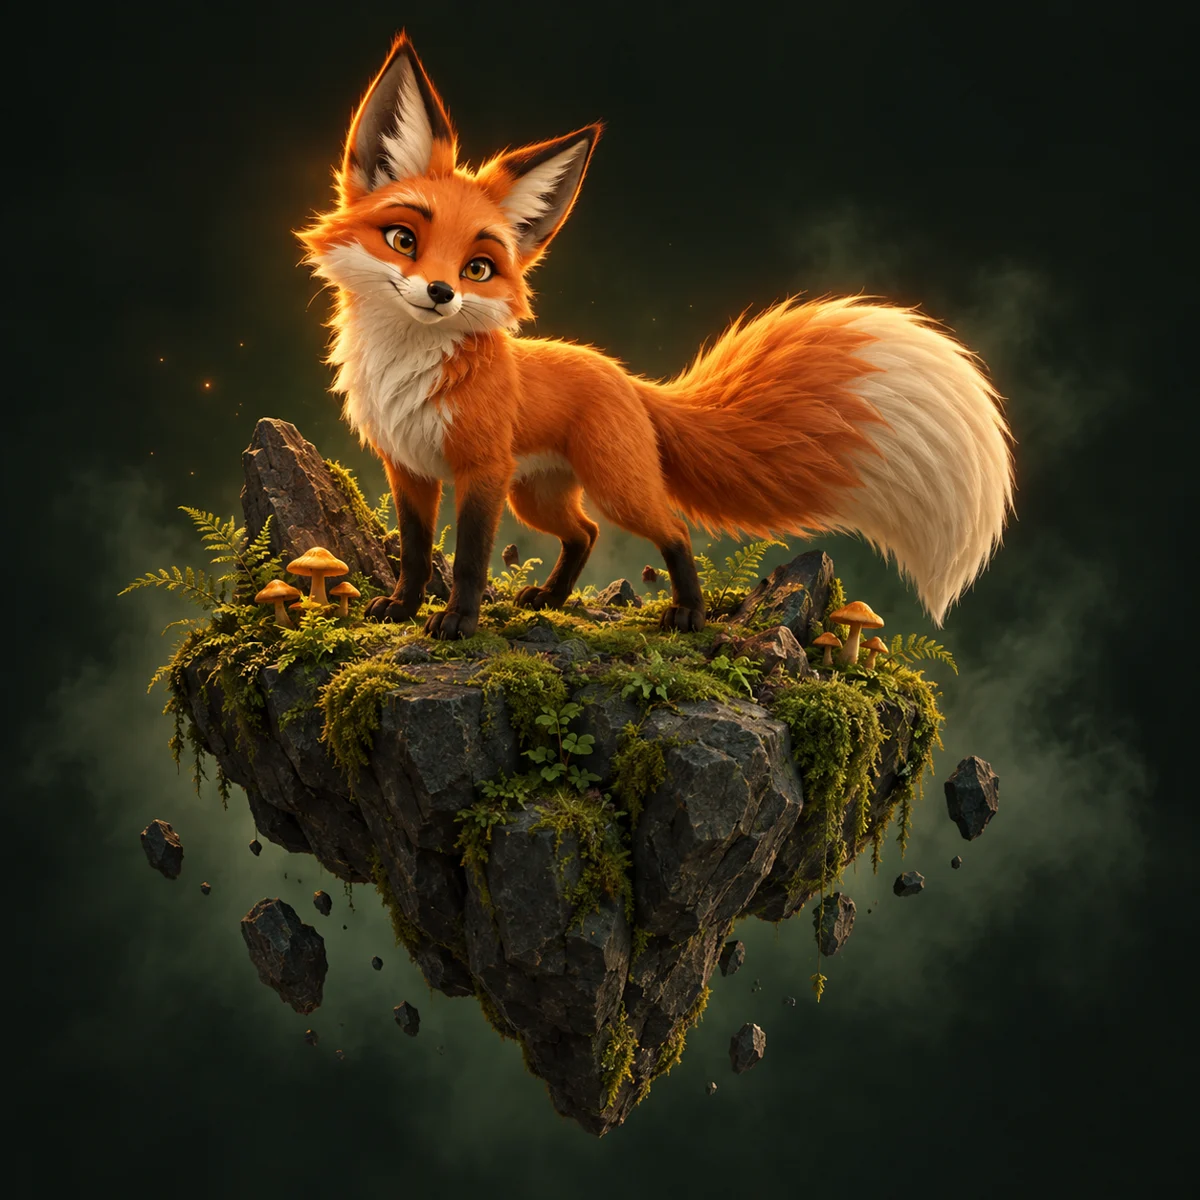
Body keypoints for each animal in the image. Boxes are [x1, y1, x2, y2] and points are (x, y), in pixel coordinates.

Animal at [298, 33, 1014, 642]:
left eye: (478, 268)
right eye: (403, 240)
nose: (441, 293)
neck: (408, 371)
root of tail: (626, 377)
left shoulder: (481, 471)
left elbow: (470, 559)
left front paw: (458, 623)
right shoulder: (410, 469)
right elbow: (418, 553)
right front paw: (401, 609)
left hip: (607, 488)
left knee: (673, 531)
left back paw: (688, 614)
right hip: (537, 496)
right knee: (585, 534)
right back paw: (552, 599)